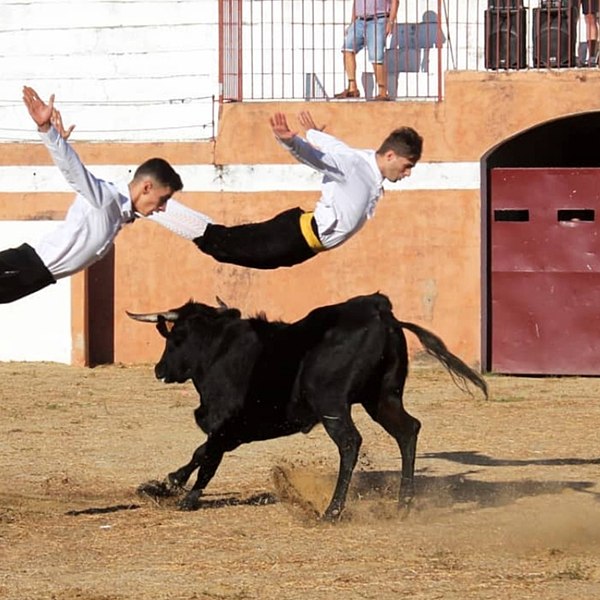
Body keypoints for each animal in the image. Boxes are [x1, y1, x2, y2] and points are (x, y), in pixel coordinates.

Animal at [127, 292, 488, 516]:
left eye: (175, 338)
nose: (159, 370)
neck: (219, 351)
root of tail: (380, 310)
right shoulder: (235, 431)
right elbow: (200, 453)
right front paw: (167, 482)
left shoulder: (225, 423)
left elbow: (207, 457)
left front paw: (185, 496)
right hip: (382, 397)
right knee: (408, 430)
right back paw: (403, 504)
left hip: (333, 404)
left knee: (350, 442)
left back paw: (332, 510)